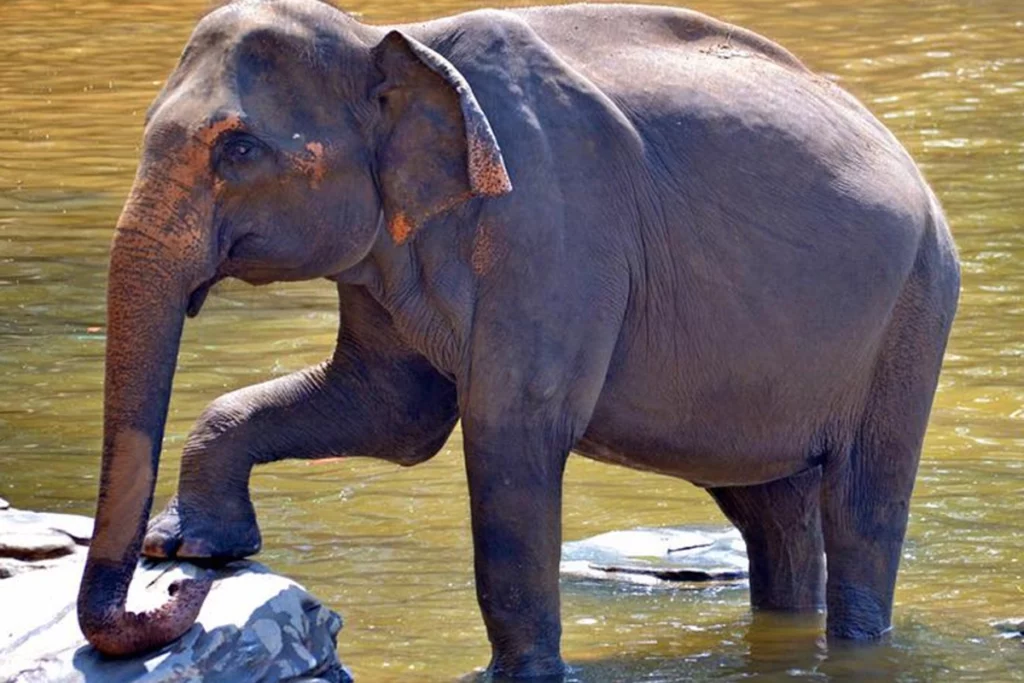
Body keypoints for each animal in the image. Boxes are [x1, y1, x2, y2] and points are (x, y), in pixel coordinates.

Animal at [77, 0, 958, 675]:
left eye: (239, 148)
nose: (172, 590)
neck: (393, 36)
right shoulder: (387, 245)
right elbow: (389, 413)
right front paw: (199, 544)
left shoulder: (553, 224)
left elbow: (510, 430)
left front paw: (514, 675)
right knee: (771, 508)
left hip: (914, 311)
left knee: (863, 504)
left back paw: (856, 640)